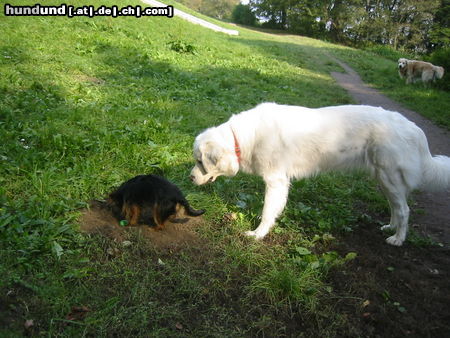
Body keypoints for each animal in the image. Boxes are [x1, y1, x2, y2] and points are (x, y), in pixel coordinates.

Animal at [191, 103, 450, 246]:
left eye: (199, 161)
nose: (190, 178)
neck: (243, 137)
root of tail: (413, 127)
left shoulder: (276, 181)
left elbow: (266, 212)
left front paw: (258, 235)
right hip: (383, 178)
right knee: (396, 207)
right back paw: (390, 228)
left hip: (389, 177)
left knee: (404, 210)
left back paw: (398, 239)